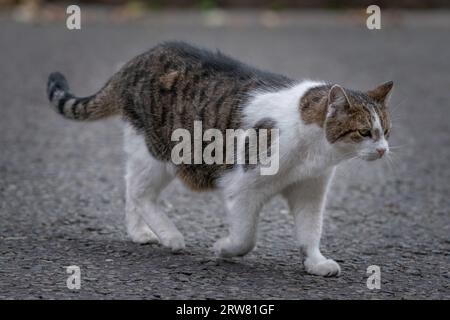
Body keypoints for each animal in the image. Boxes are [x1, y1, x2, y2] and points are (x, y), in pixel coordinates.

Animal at [45, 41, 390, 276]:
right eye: (364, 132)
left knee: (131, 189)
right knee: (141, 194)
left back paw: (140, 234)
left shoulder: (310, 191)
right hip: (158, 152)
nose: (384, 150)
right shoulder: (244, 187)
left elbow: (310, 231)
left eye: (385, 130)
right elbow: (246, 237)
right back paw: (170, 235)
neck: (315, 152)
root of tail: (138, 59)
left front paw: (315, 262)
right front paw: (224, 248)